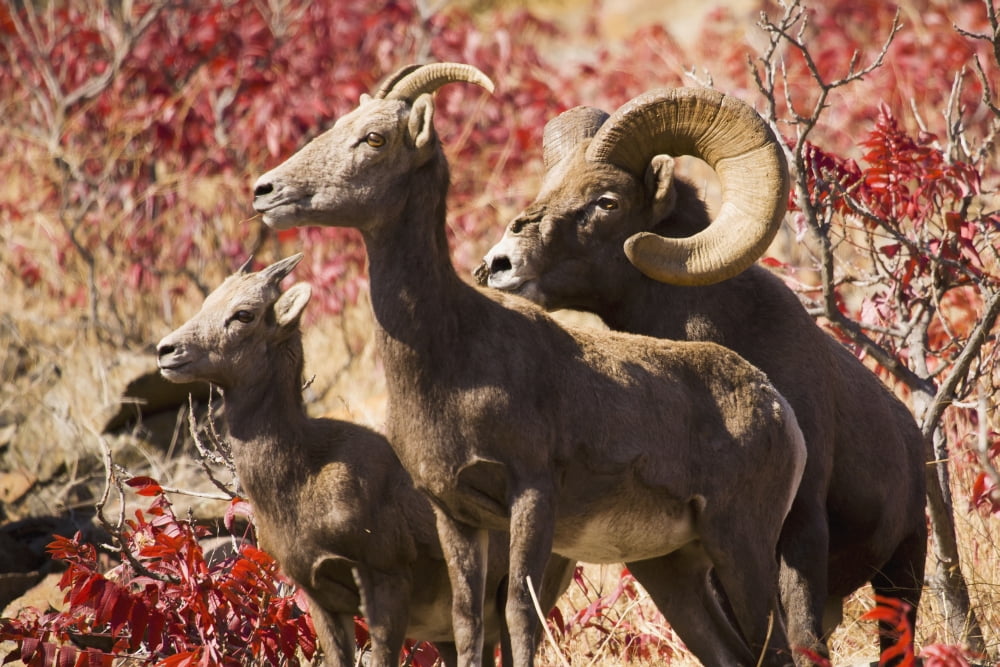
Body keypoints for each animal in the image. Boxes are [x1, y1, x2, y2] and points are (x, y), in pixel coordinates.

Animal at [154, 253, 574, 667]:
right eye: (208, 302)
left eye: (244, 314)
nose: (166, 351)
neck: (304, 475)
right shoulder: (320, 599)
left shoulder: (385, 583)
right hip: (453, 634)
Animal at [251, 62, 809, 667]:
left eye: (374, 138)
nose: (266, 191)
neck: (451, 353)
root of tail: (776, 405)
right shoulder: (457, 516)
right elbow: (467, 621)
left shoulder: (532, 496)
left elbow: (521, 612)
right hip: (674, 573)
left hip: (741, 548)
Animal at [478, 89, 928, 661]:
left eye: (606, 201)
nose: (498, 265)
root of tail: (912, 436)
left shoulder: (801, 528)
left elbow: (803, 640)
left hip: (902, 572)